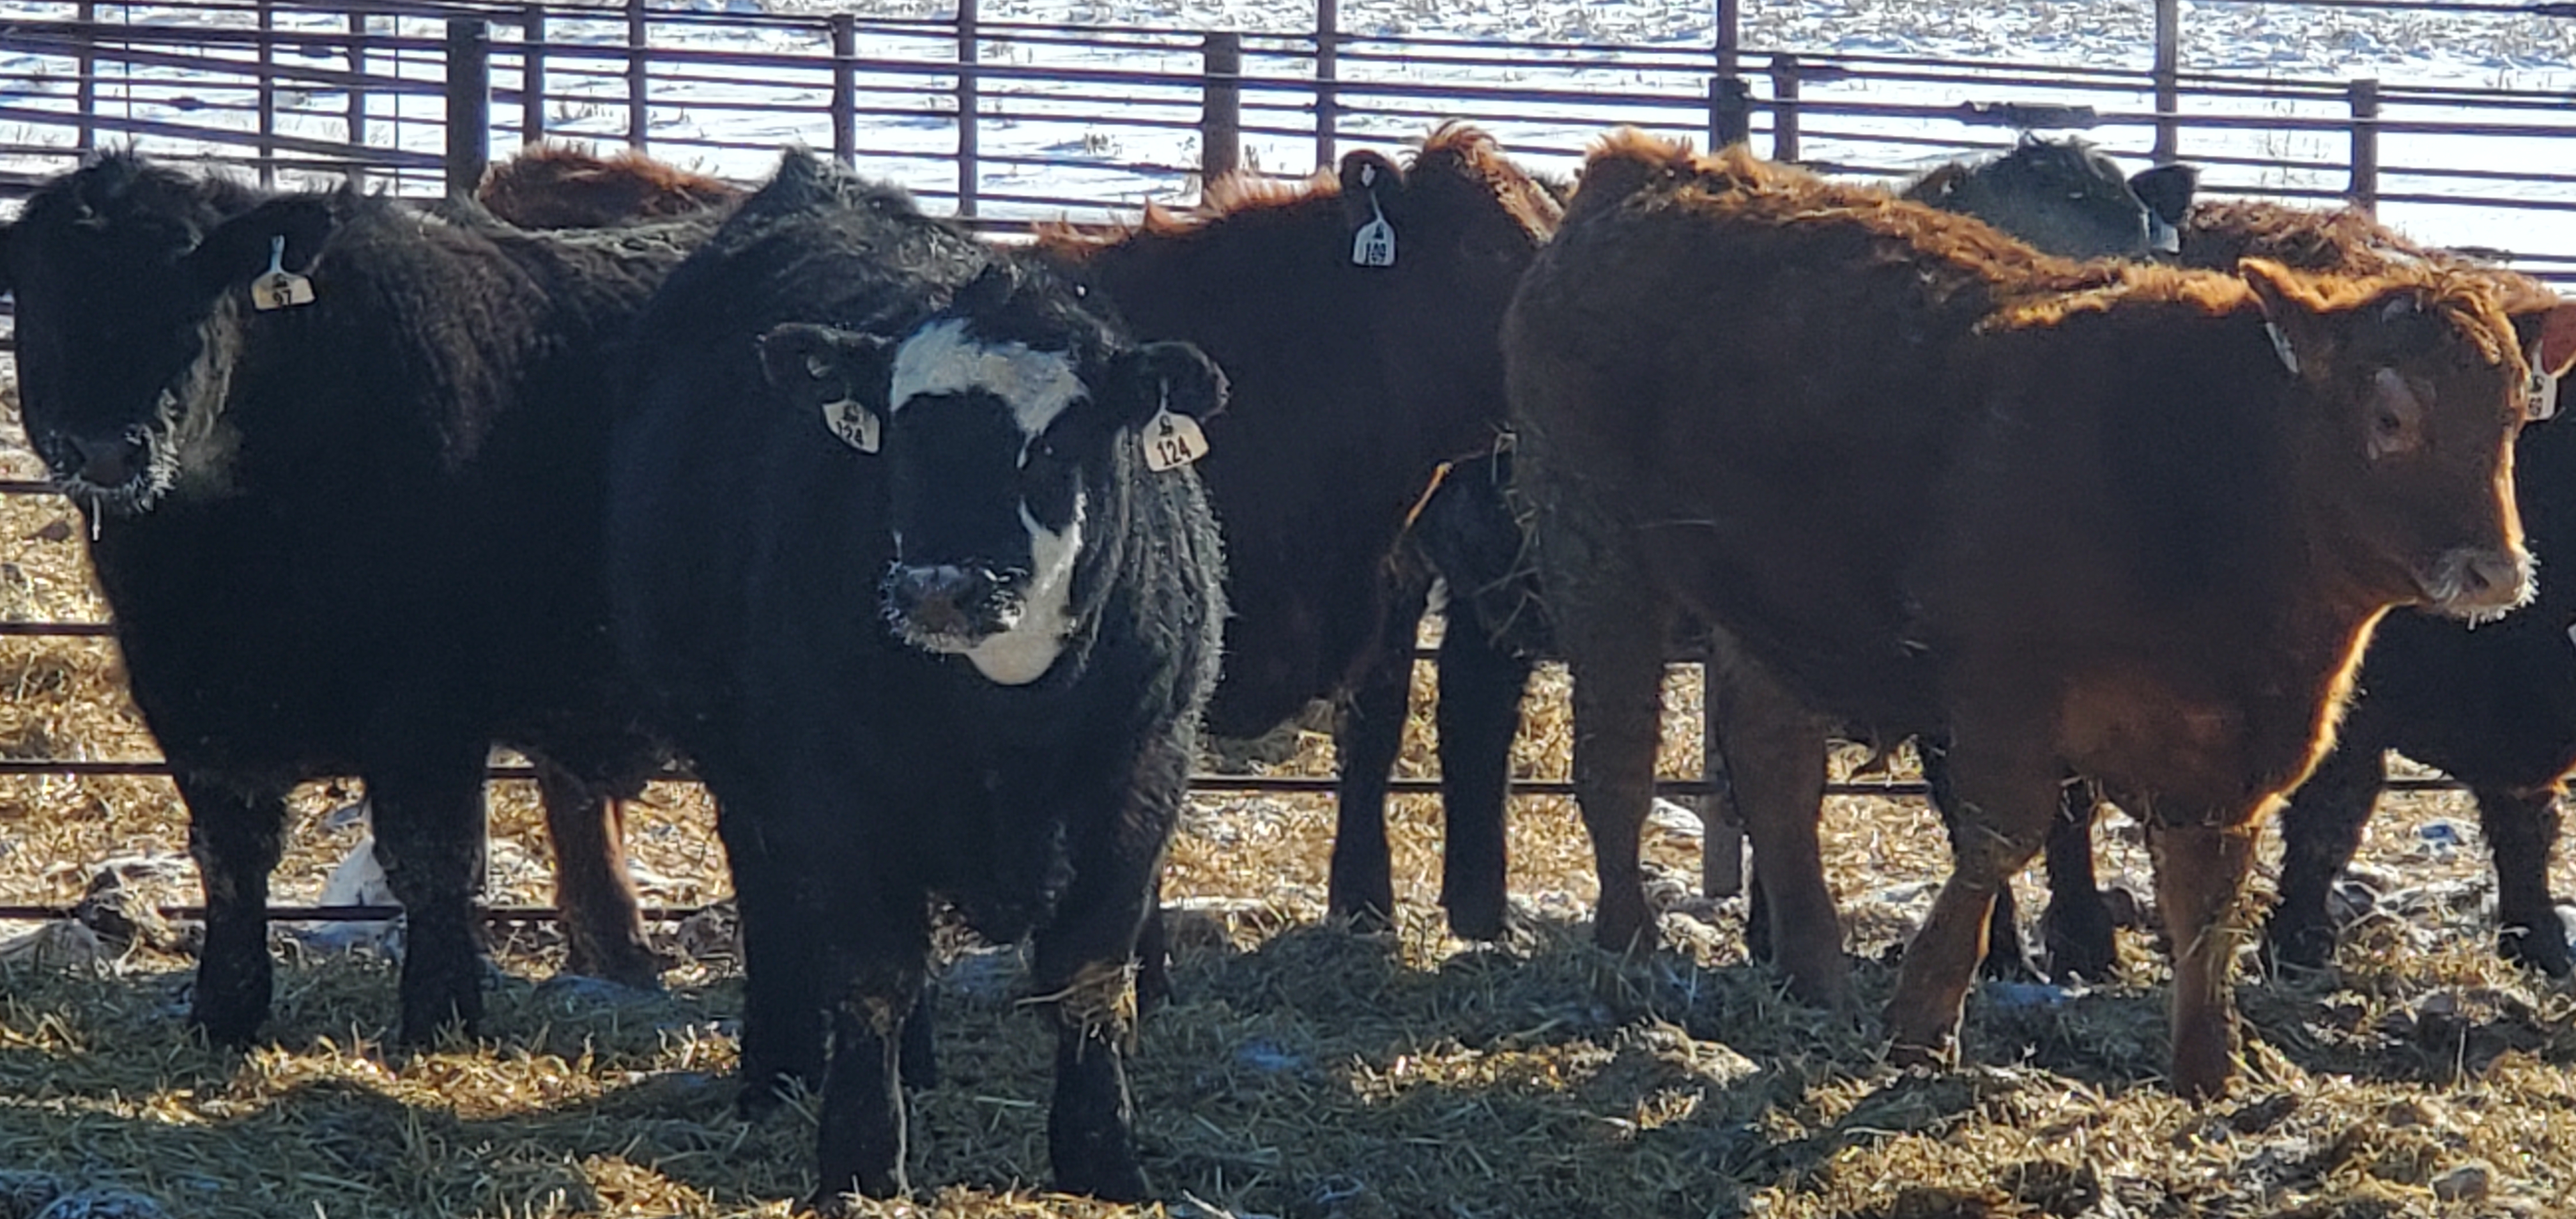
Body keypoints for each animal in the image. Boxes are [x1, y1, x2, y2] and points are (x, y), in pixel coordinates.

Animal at [0, 155, 695, 1036]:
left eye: (189, 294)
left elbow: (429, 856)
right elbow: (230, 854)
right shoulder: (183, 698)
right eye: (43, 300)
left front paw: (439, 1016)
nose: (103, 450)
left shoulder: (430, 698)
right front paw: (224, 1012)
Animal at [1504, 130, 2576, 1092]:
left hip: (1764, 605)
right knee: (1617, 760)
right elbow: (2002, 836)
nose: (2495, 570)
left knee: (1775, 771)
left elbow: (2208, 892)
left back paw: (1816, 976)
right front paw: (1926, 1014)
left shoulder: (2235, 754)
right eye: (2391, 418)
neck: (2209, 470)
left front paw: (2207, 1066)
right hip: (1595, 545)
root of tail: (1642, 169)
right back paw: (1632, 951)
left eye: (2513, 417)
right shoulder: (2001, 696)